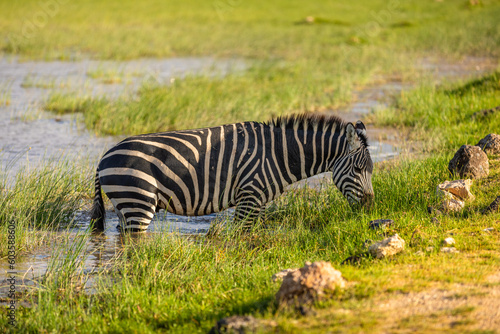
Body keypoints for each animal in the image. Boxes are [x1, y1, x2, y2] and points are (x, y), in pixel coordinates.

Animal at [90, 113, 374, 231]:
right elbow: (240, 238)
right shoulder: (249, 197)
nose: (370, 206)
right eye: (359, 168)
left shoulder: (259, 201)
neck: (279, 154)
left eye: (371, 170)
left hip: (125, 206)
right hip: (137, 202)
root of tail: (104, 156)